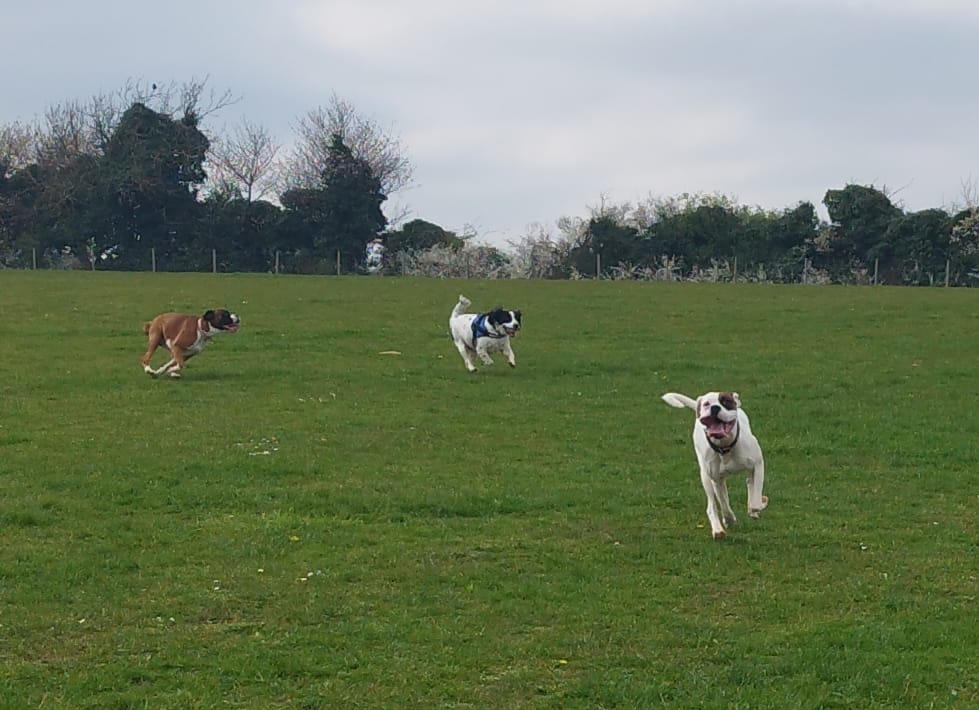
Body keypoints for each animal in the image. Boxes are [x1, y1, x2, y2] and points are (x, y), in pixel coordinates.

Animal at [661, 391, 768, 540]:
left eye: (726, 401)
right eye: (707, 404)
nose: (715, 408)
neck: (725, 447)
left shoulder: (758, 464)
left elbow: (755, 500)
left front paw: (757, 506)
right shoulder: (716, 479)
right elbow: (724, 504)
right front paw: (729, 520)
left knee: (748, 483)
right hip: (706, 477)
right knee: (712, 506)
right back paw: (718, 530)